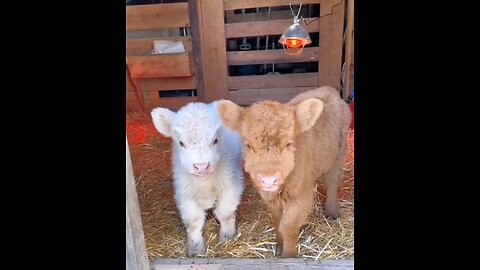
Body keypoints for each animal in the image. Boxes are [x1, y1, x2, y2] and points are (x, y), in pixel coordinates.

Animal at [151, 102, 244, 258]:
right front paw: (195, 250)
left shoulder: (231, 186)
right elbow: (193, 223)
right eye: (181, 143)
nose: (201, 167)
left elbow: (225, 214)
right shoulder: (185, 194)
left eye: (215, 140)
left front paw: (227, 239)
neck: (204, 185)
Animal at [217, 86, 348, 258]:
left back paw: (332, 212)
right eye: (248, 145)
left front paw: (288, 256)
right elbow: (277, 221)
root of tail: (328, 89)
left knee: (333, 180)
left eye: (288, 144)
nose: (268, 179)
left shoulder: (301, 196)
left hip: (340, 150)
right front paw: (279, 246)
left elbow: (289, 226)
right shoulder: (269, 197)